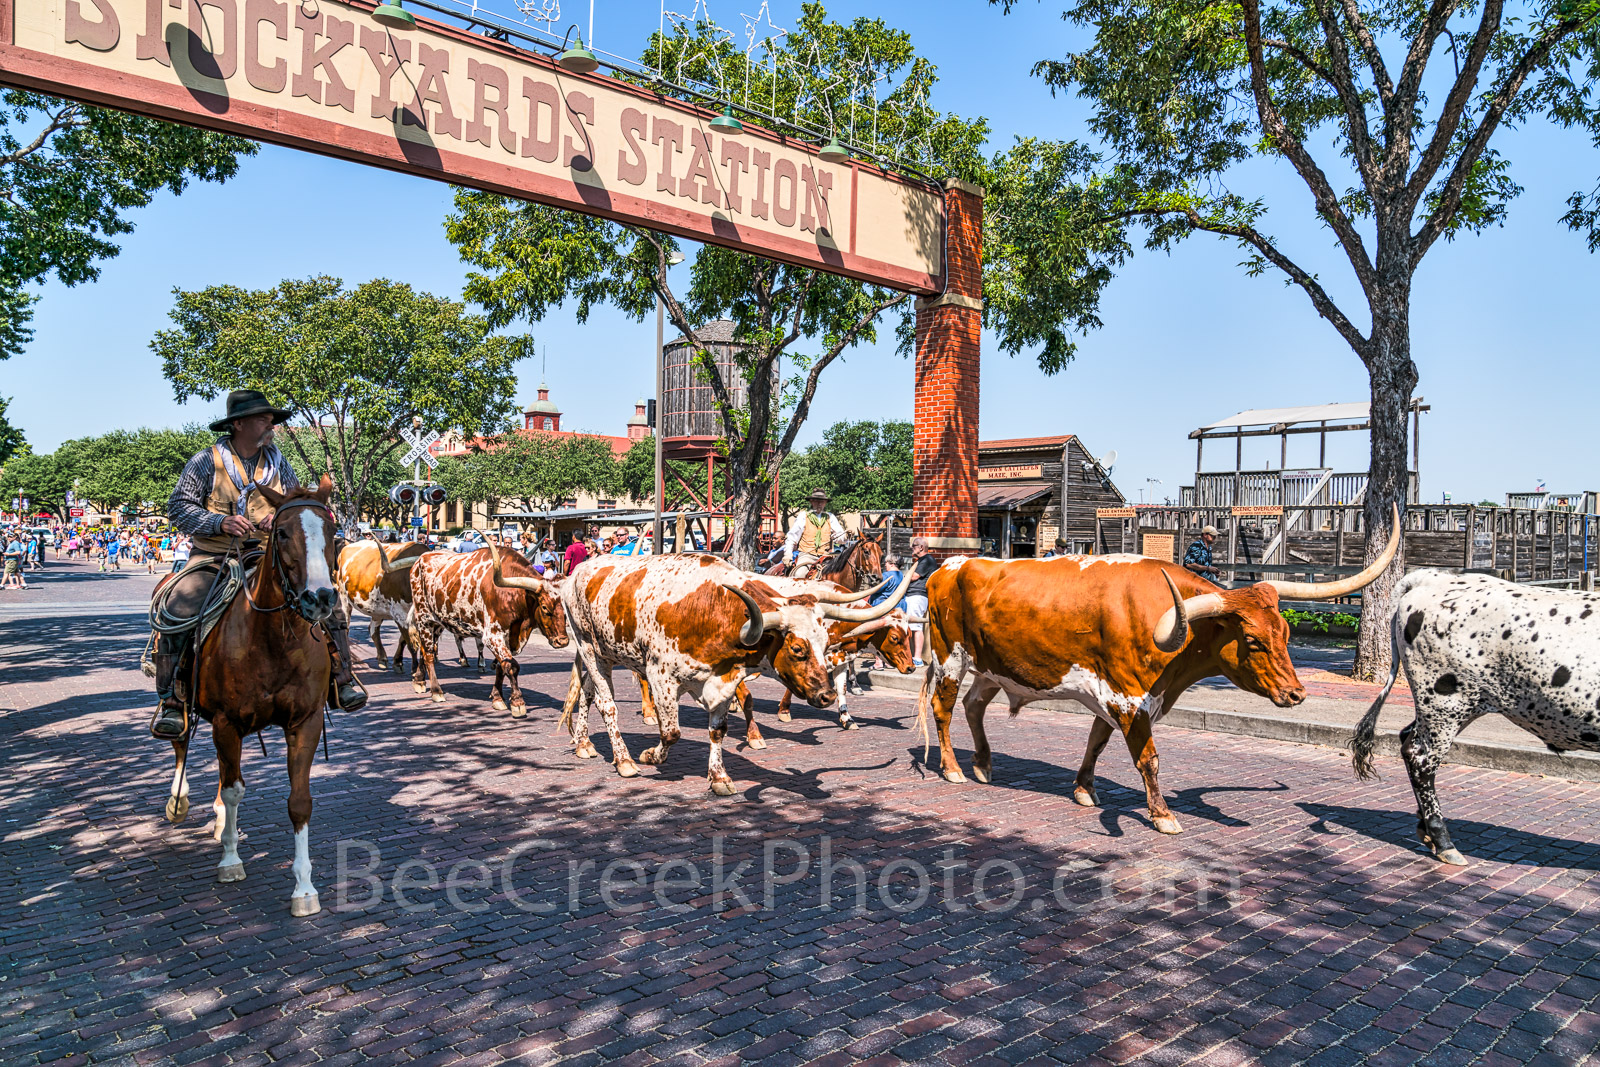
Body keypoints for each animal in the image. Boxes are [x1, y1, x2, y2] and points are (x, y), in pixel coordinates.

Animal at [164, 476, 339, 921]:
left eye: (332, 532)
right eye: (282, 532)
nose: (320, 598)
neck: (276, 640)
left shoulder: (305, 722)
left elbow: (299, 801)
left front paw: (304, 888)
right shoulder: (228, 722)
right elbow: (234, 790)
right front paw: (230, 861)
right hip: (186, 705)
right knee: (181, 743)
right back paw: (180, 802)